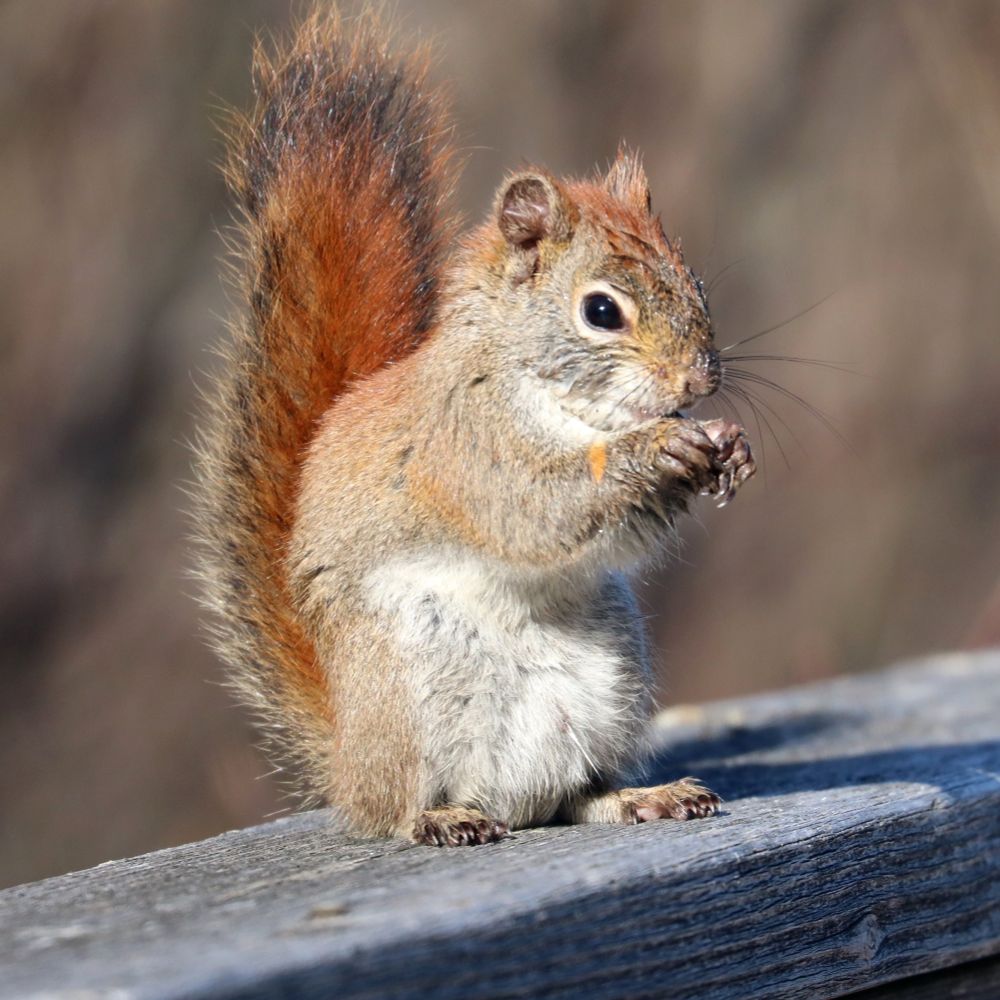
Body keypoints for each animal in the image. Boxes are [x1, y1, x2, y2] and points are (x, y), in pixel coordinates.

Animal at [195, 9, 756, 848]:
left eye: (697, 287)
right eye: (601, 310)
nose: (699, 382)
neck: (554, 398)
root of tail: (347, 760)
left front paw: (724, 448)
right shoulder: (463, 447)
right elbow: (532, 509)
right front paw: (656, 447)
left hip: (612, 677)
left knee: (571, 794)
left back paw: (639, 797)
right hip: (403, 691)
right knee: (397, 806)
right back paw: (439, 816)